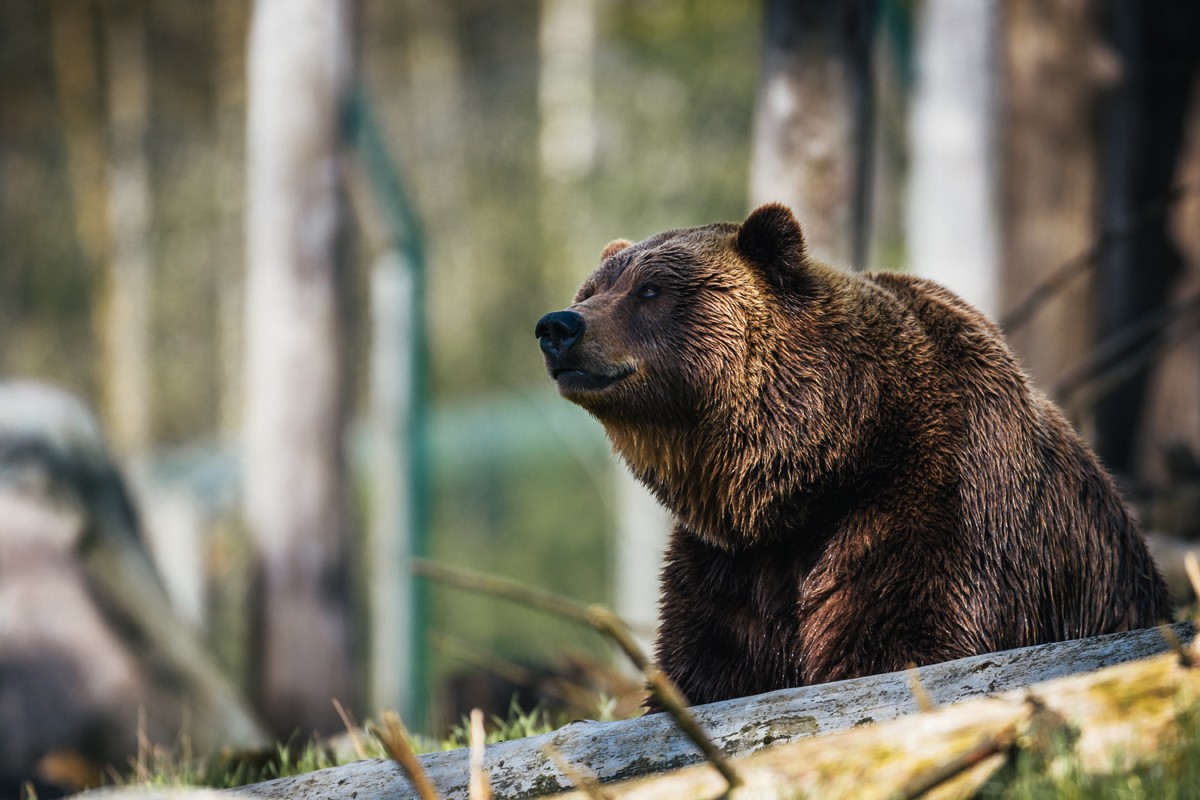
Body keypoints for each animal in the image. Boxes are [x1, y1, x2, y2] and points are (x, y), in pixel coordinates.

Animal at [537, 203, 1171, 705]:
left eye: (650, 290)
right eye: (591, 291)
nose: (558, 326)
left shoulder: (934, 508)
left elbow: (904, 642)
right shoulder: (730, 565)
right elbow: (707, 666)